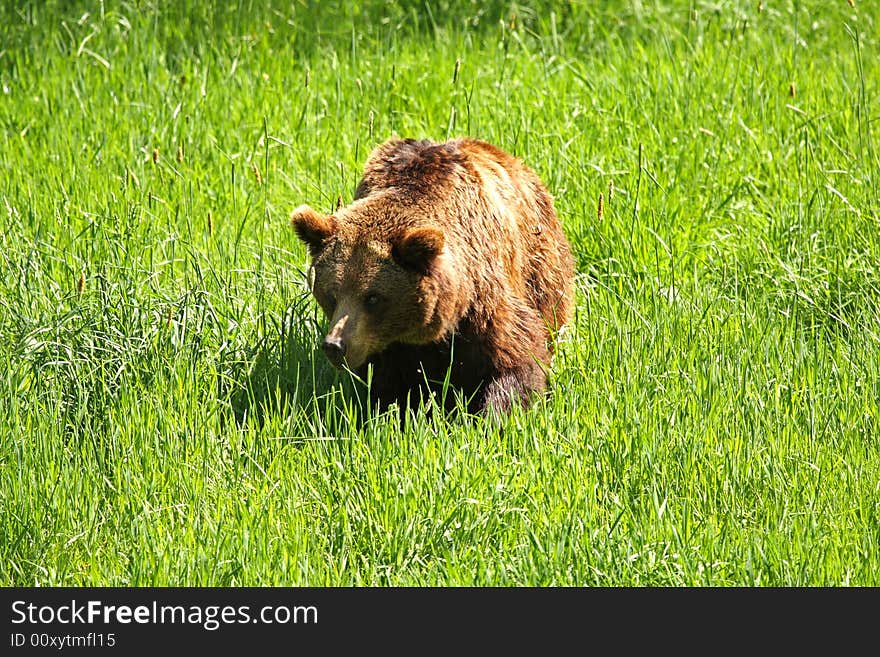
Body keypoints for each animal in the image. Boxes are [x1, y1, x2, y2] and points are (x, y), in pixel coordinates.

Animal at [292, 137, 576, 416]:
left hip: (540, 265)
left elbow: (515, 358)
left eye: (372, 298)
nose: (335, 345)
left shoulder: (484, 304)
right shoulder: (386, 346)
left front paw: (493, 413)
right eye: (331, 294)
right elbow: (387, 386)